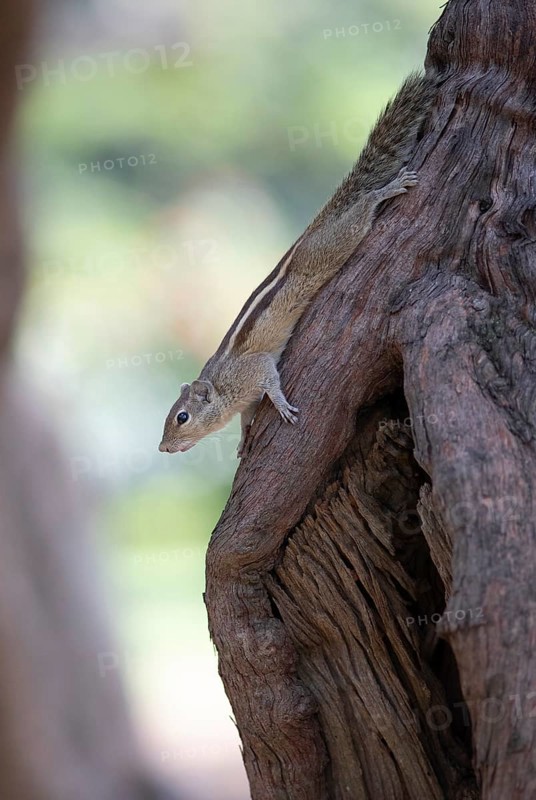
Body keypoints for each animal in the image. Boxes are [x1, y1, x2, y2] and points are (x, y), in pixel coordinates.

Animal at [159, 72, 435, 457]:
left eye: (182, 417)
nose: (162, 447)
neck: (222, 388)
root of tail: (310, 232)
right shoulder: (245, 398)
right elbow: (247, 417)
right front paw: (242, 439)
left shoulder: (254, 368)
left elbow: (270, 383)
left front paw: (281, 405)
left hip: (330, 246)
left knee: (362, 208)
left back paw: (386, 190)